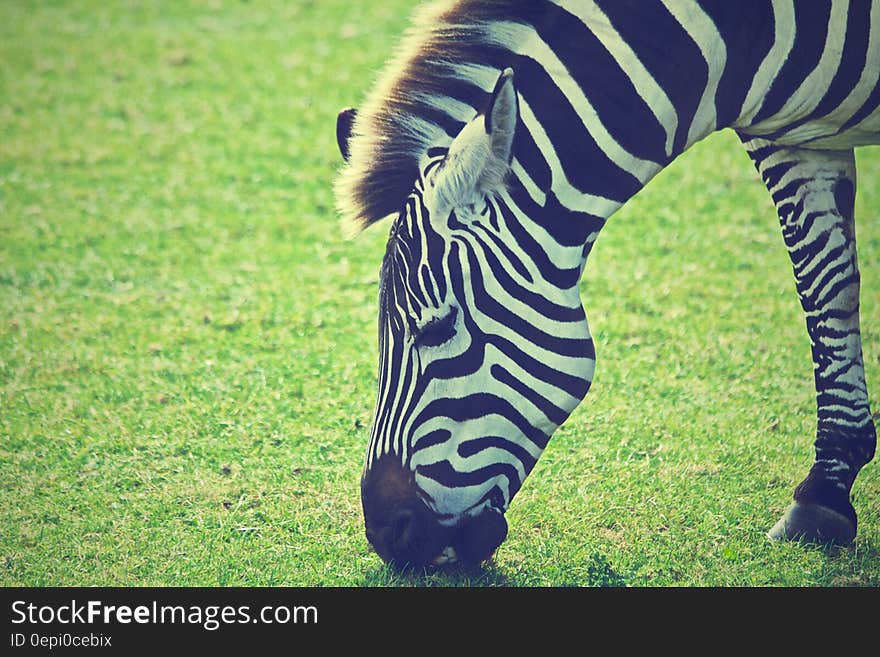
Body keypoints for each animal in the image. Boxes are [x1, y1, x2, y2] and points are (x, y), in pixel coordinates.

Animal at [334, 0, 876, 568]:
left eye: (436, 329)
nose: (385, 534)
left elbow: (827, 284)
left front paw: (824, 492)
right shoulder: (787, 138)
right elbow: (826, 285)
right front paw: (826, 493)